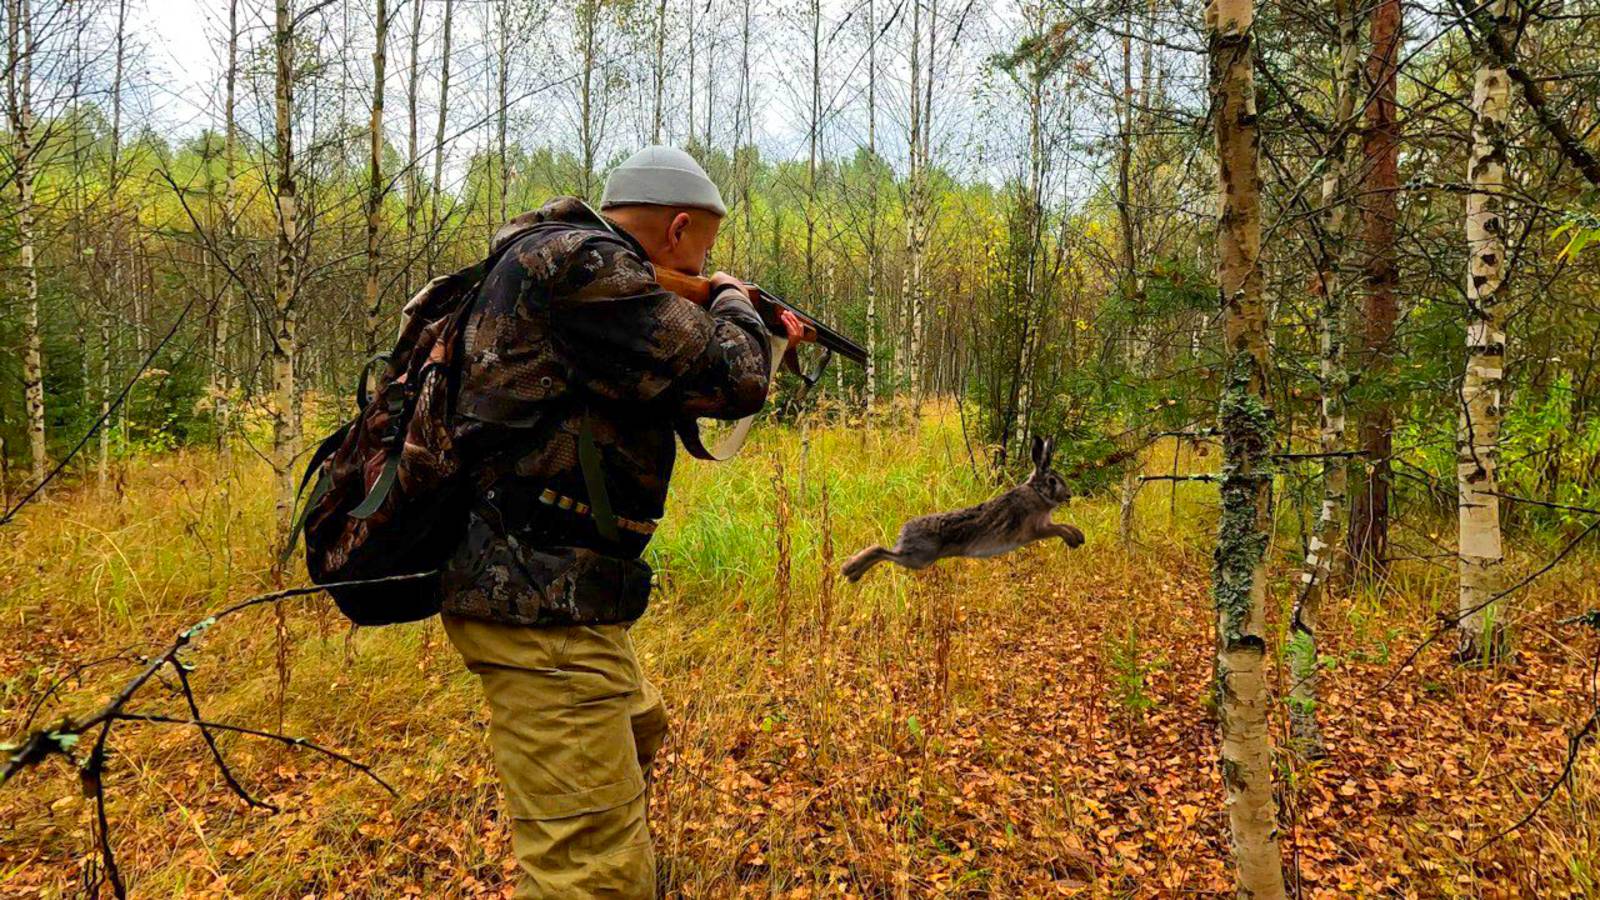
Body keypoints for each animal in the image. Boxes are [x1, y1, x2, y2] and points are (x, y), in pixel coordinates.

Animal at [842, 436, 1084, 582]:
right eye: (1053, 481)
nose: (1069, 495)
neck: (1037, 492)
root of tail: (904, 533)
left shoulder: (1045, 522)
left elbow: (1064, 525)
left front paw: (1079, 537)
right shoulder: (1035, 529)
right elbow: (1057, 529)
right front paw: (1074, 540)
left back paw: (852, 574)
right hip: (918, 558)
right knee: (882, 551)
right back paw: (850, 570)